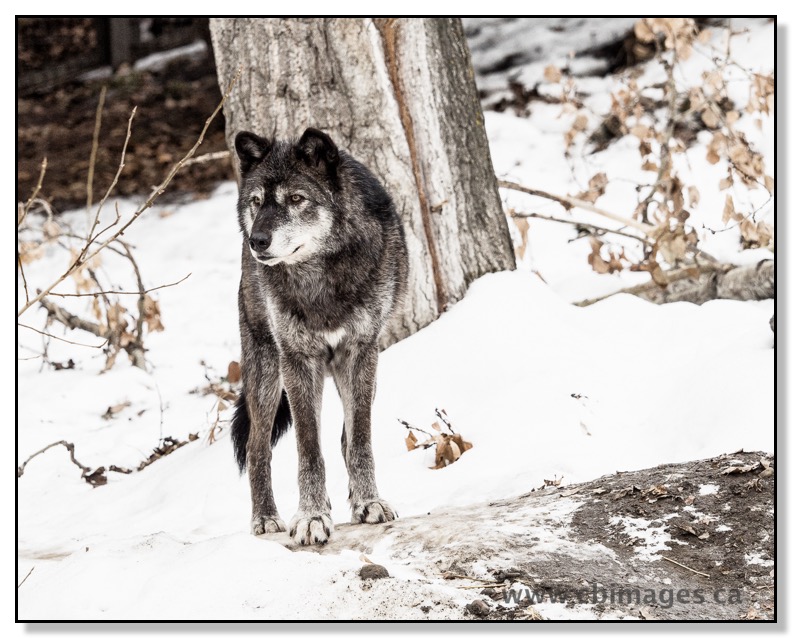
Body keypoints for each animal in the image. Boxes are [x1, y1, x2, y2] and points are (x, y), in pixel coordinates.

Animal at [229, 127, 408, 548]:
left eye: (296, 199)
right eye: (257, 202)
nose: (257, 240)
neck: (319, 279)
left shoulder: (359, 352)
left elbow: (359, 440)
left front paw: (368, 502)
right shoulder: (297, 359)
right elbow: (308, 448)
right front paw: (311, 516)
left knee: (347, 436)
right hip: (265, 373)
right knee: (257, 448)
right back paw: (266, 518)